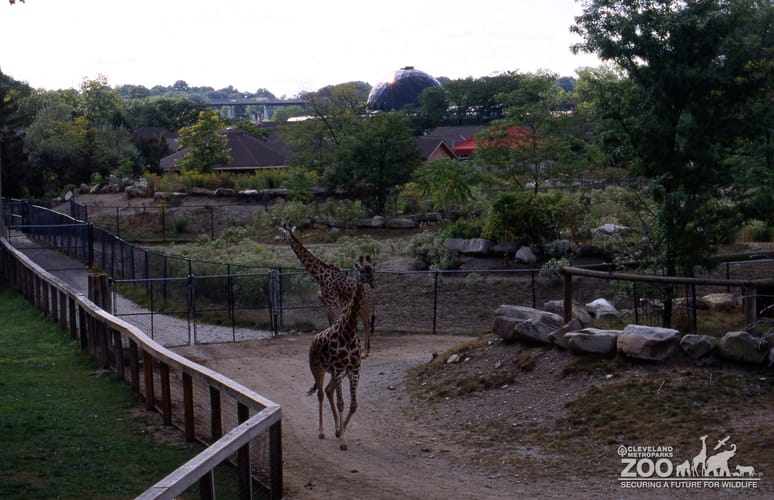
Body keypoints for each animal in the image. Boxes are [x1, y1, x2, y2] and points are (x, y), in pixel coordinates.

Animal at [278, 225, 376, 356]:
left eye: (283, 234)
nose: (281, 240)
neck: (320, 276)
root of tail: (371, 291)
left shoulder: (333, 306)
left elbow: (334, 325)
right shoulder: (326, 306)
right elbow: (330, 325)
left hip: (365, 307)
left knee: (367, 324)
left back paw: (365, 352)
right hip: (360, 309)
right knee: (366, 324)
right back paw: (365, 351)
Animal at [307, 279, 365, 450]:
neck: (349, 332)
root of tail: (313, 339)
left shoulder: (353, 370)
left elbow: (353, 404)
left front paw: (340, 432)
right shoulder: (339, 369)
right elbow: (341, 403)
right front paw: (343, 441)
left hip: (334, 372)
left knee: (328, 390)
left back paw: (337, 428)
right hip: (317, 368)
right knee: (321, 393)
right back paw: (321, 432)